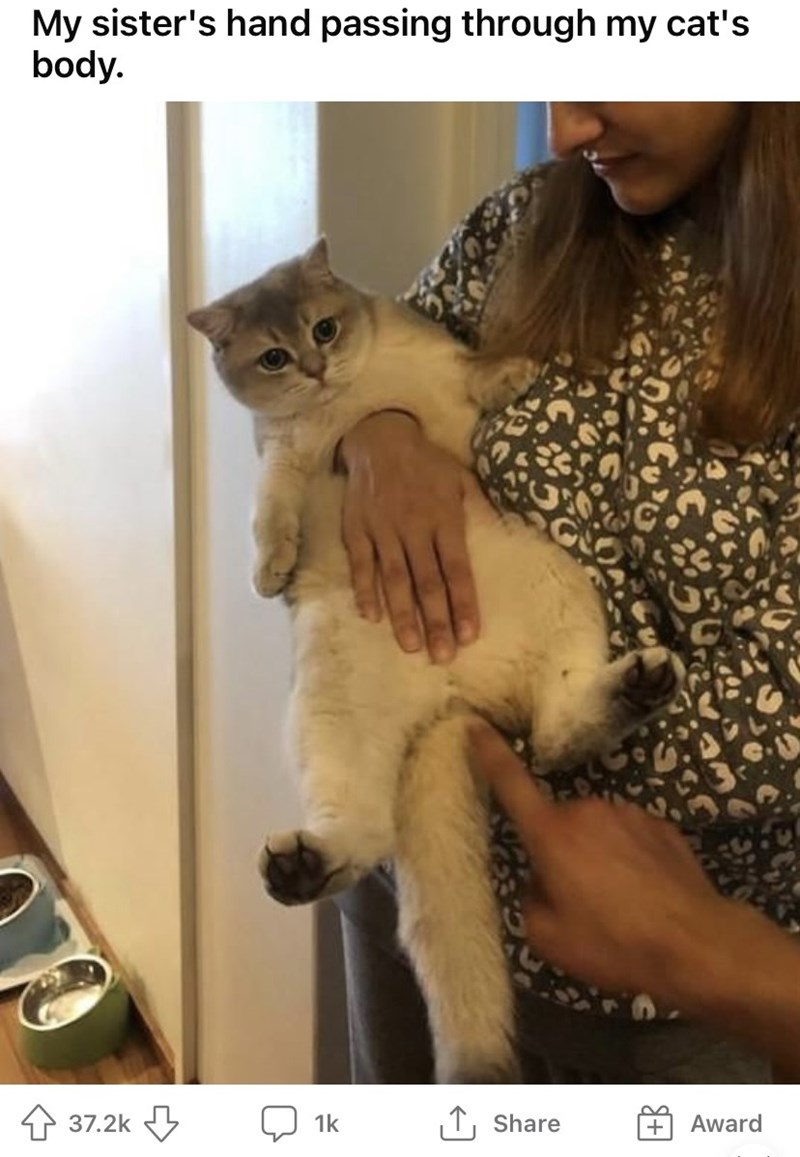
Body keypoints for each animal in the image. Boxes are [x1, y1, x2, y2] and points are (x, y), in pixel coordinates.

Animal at [188, 238, 685, 1083]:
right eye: (275, 355)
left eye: (324, 328)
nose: (317, 369)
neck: (352, 401)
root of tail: (450, 702)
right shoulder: (282, 457)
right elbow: (270, 509)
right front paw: (269, 568)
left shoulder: (444, 375)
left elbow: (476, 371)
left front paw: (517, 370)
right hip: (327, 702)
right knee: (367, 825)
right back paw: (300, 867)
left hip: (559, 582)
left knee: (554, 733)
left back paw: (632, 686)